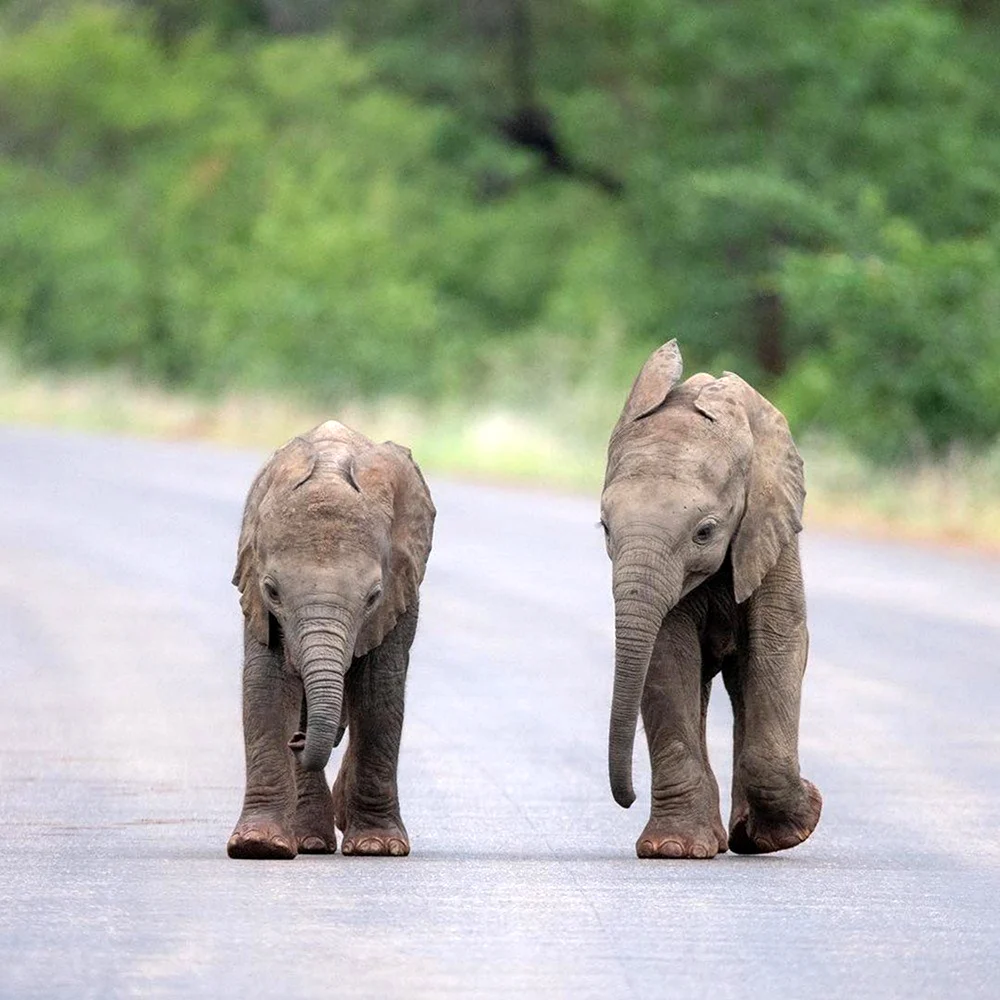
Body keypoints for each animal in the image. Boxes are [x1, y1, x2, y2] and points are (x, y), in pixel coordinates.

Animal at [229, 418, 436, 856]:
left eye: (373, 596)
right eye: (272, 591)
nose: (298, 740)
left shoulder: (399, 590)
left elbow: (377, 695)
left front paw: (377, 847)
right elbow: (266, 686)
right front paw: (257, 845)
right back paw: (309, 840)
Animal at [600, 340, 820, 856]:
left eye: (705, 532)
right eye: (605, 529)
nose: (626, 797)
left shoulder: (772, 536)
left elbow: (778, 647)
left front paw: (798, 823)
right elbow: (665, 657)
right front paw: (672, 850)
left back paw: (748, 837)